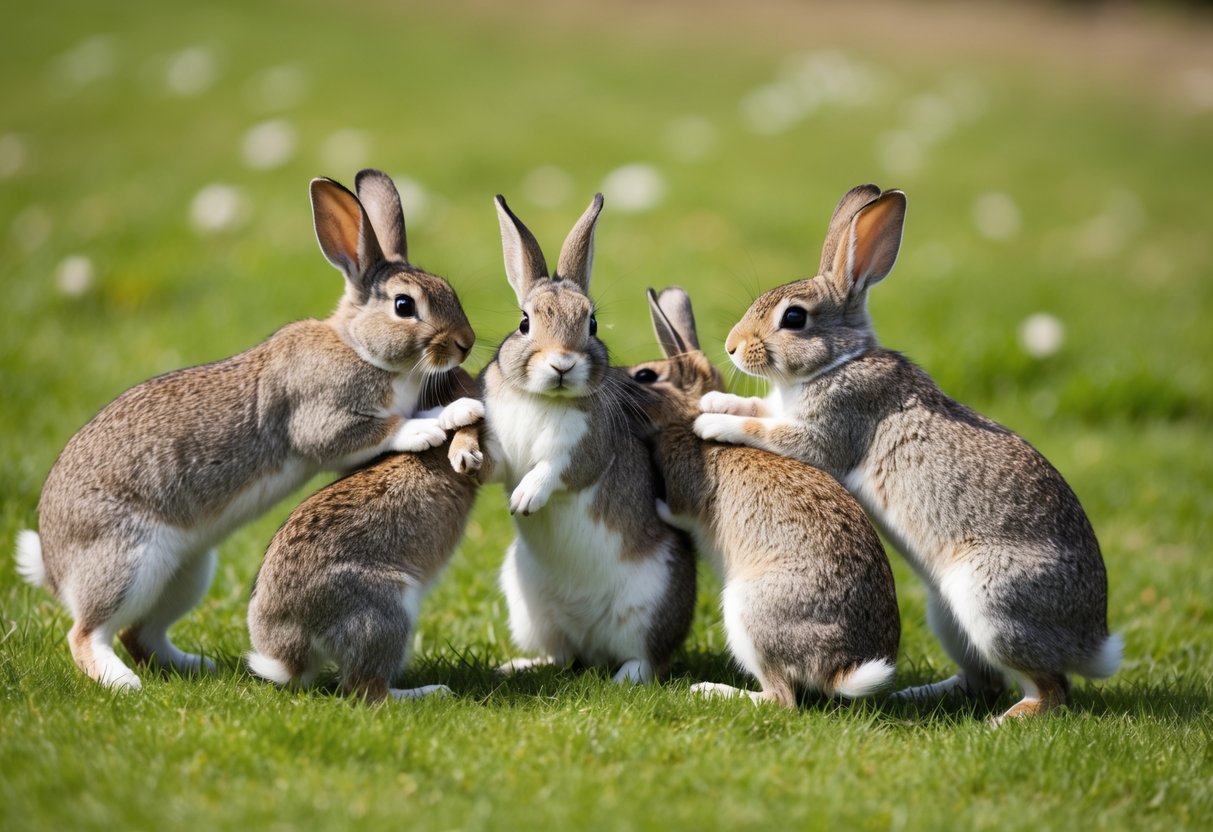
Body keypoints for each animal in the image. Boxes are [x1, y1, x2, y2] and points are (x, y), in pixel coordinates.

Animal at [480, 194, 697, 685]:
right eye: (524, 323)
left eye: (593, 323)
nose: (561, 364)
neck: (542, 397)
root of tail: (592, 645)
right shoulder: (503, 445)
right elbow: (496, 462)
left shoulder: (584, 448)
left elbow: (556, 470)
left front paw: (526, 499)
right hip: (529, 604)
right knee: (562, 654)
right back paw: (518, 665)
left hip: (648, 604)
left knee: (645, 659)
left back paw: (624, 679)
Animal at [627, 286, 899, 706]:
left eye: (645, 376)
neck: (682, 417)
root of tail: (839, 671)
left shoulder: (683, 487)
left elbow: (674, 510)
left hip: (748, 612)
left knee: (781, 698)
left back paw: (711, 690)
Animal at [693, 184, 1122, 723]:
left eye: (794, 318)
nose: (732, 347)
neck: (841, 359)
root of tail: (1092, 642)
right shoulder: (784, 410)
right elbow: (756, 407)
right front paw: (713, 401)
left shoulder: (826, 433)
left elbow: (762, 427)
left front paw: (710, 422)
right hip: (948, 615)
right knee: (983, 681)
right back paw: (914, 695)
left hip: (992, 602)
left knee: (1052, 689)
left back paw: (1004, 721)